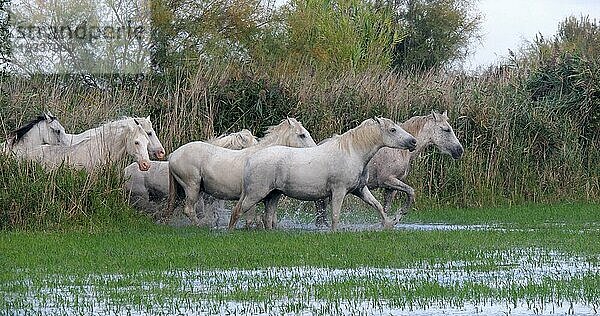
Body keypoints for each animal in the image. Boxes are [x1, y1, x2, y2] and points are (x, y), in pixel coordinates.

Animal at [166, 117, 316, 226]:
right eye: (302, 135)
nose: (314, 150)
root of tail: (173, 155)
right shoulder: (251, 196)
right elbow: (250, 219)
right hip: (192, 187)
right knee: (189, 210)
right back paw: (200, 226)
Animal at [230, 117, 418, 231]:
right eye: (392, 130)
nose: (413, 142)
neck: (352, 153)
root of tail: (251, 159)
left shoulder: (360, 190)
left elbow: (378, 205)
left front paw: (390, 222)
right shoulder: (338, 191)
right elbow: (335, 215)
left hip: (273, 195)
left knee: (267, 217)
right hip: (255, 194)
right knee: (237, 211)